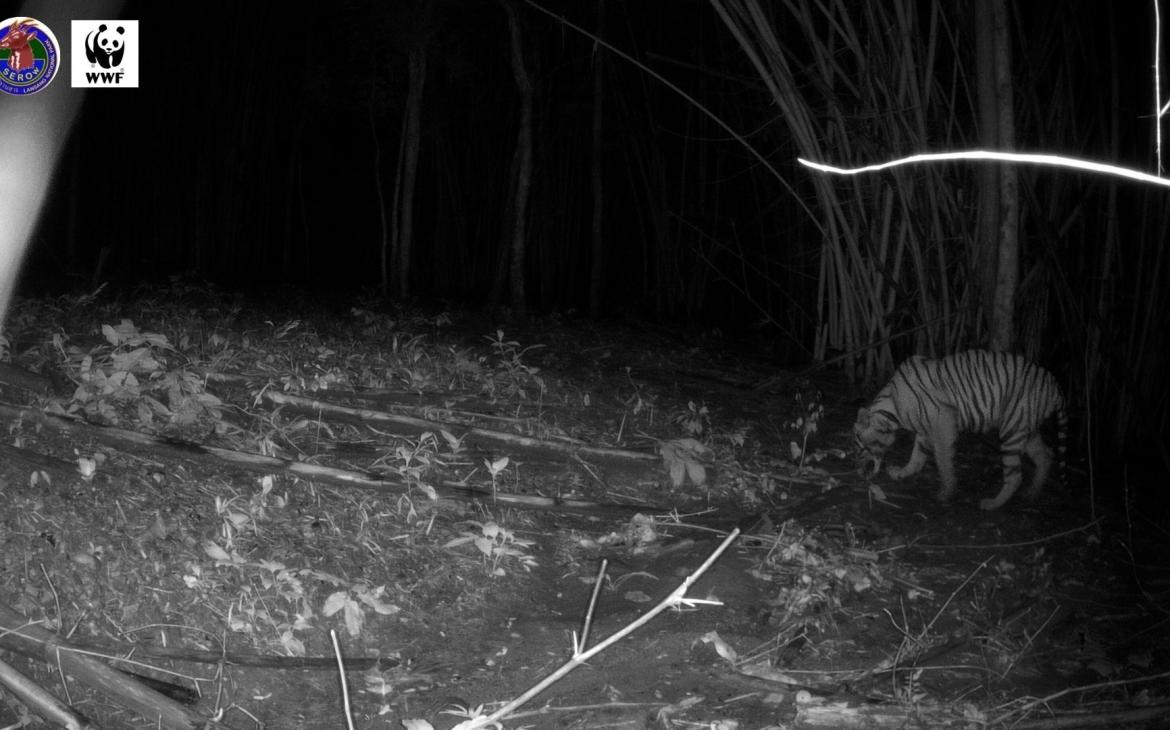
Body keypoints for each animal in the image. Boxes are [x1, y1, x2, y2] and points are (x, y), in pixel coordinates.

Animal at [853, 350, 1068, 511]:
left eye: (861, 446)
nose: (859, 472)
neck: (892, 410)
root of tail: (1055, 385)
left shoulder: (943, 422)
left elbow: (942, 458)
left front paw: (946, 492)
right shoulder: (925, 428)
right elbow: (917, 456)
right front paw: (902, 473)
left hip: (1012, 428)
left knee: (1015, 475)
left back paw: (992, 503)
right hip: (1027, 429)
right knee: (1045, 455)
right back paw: (1032, 493)